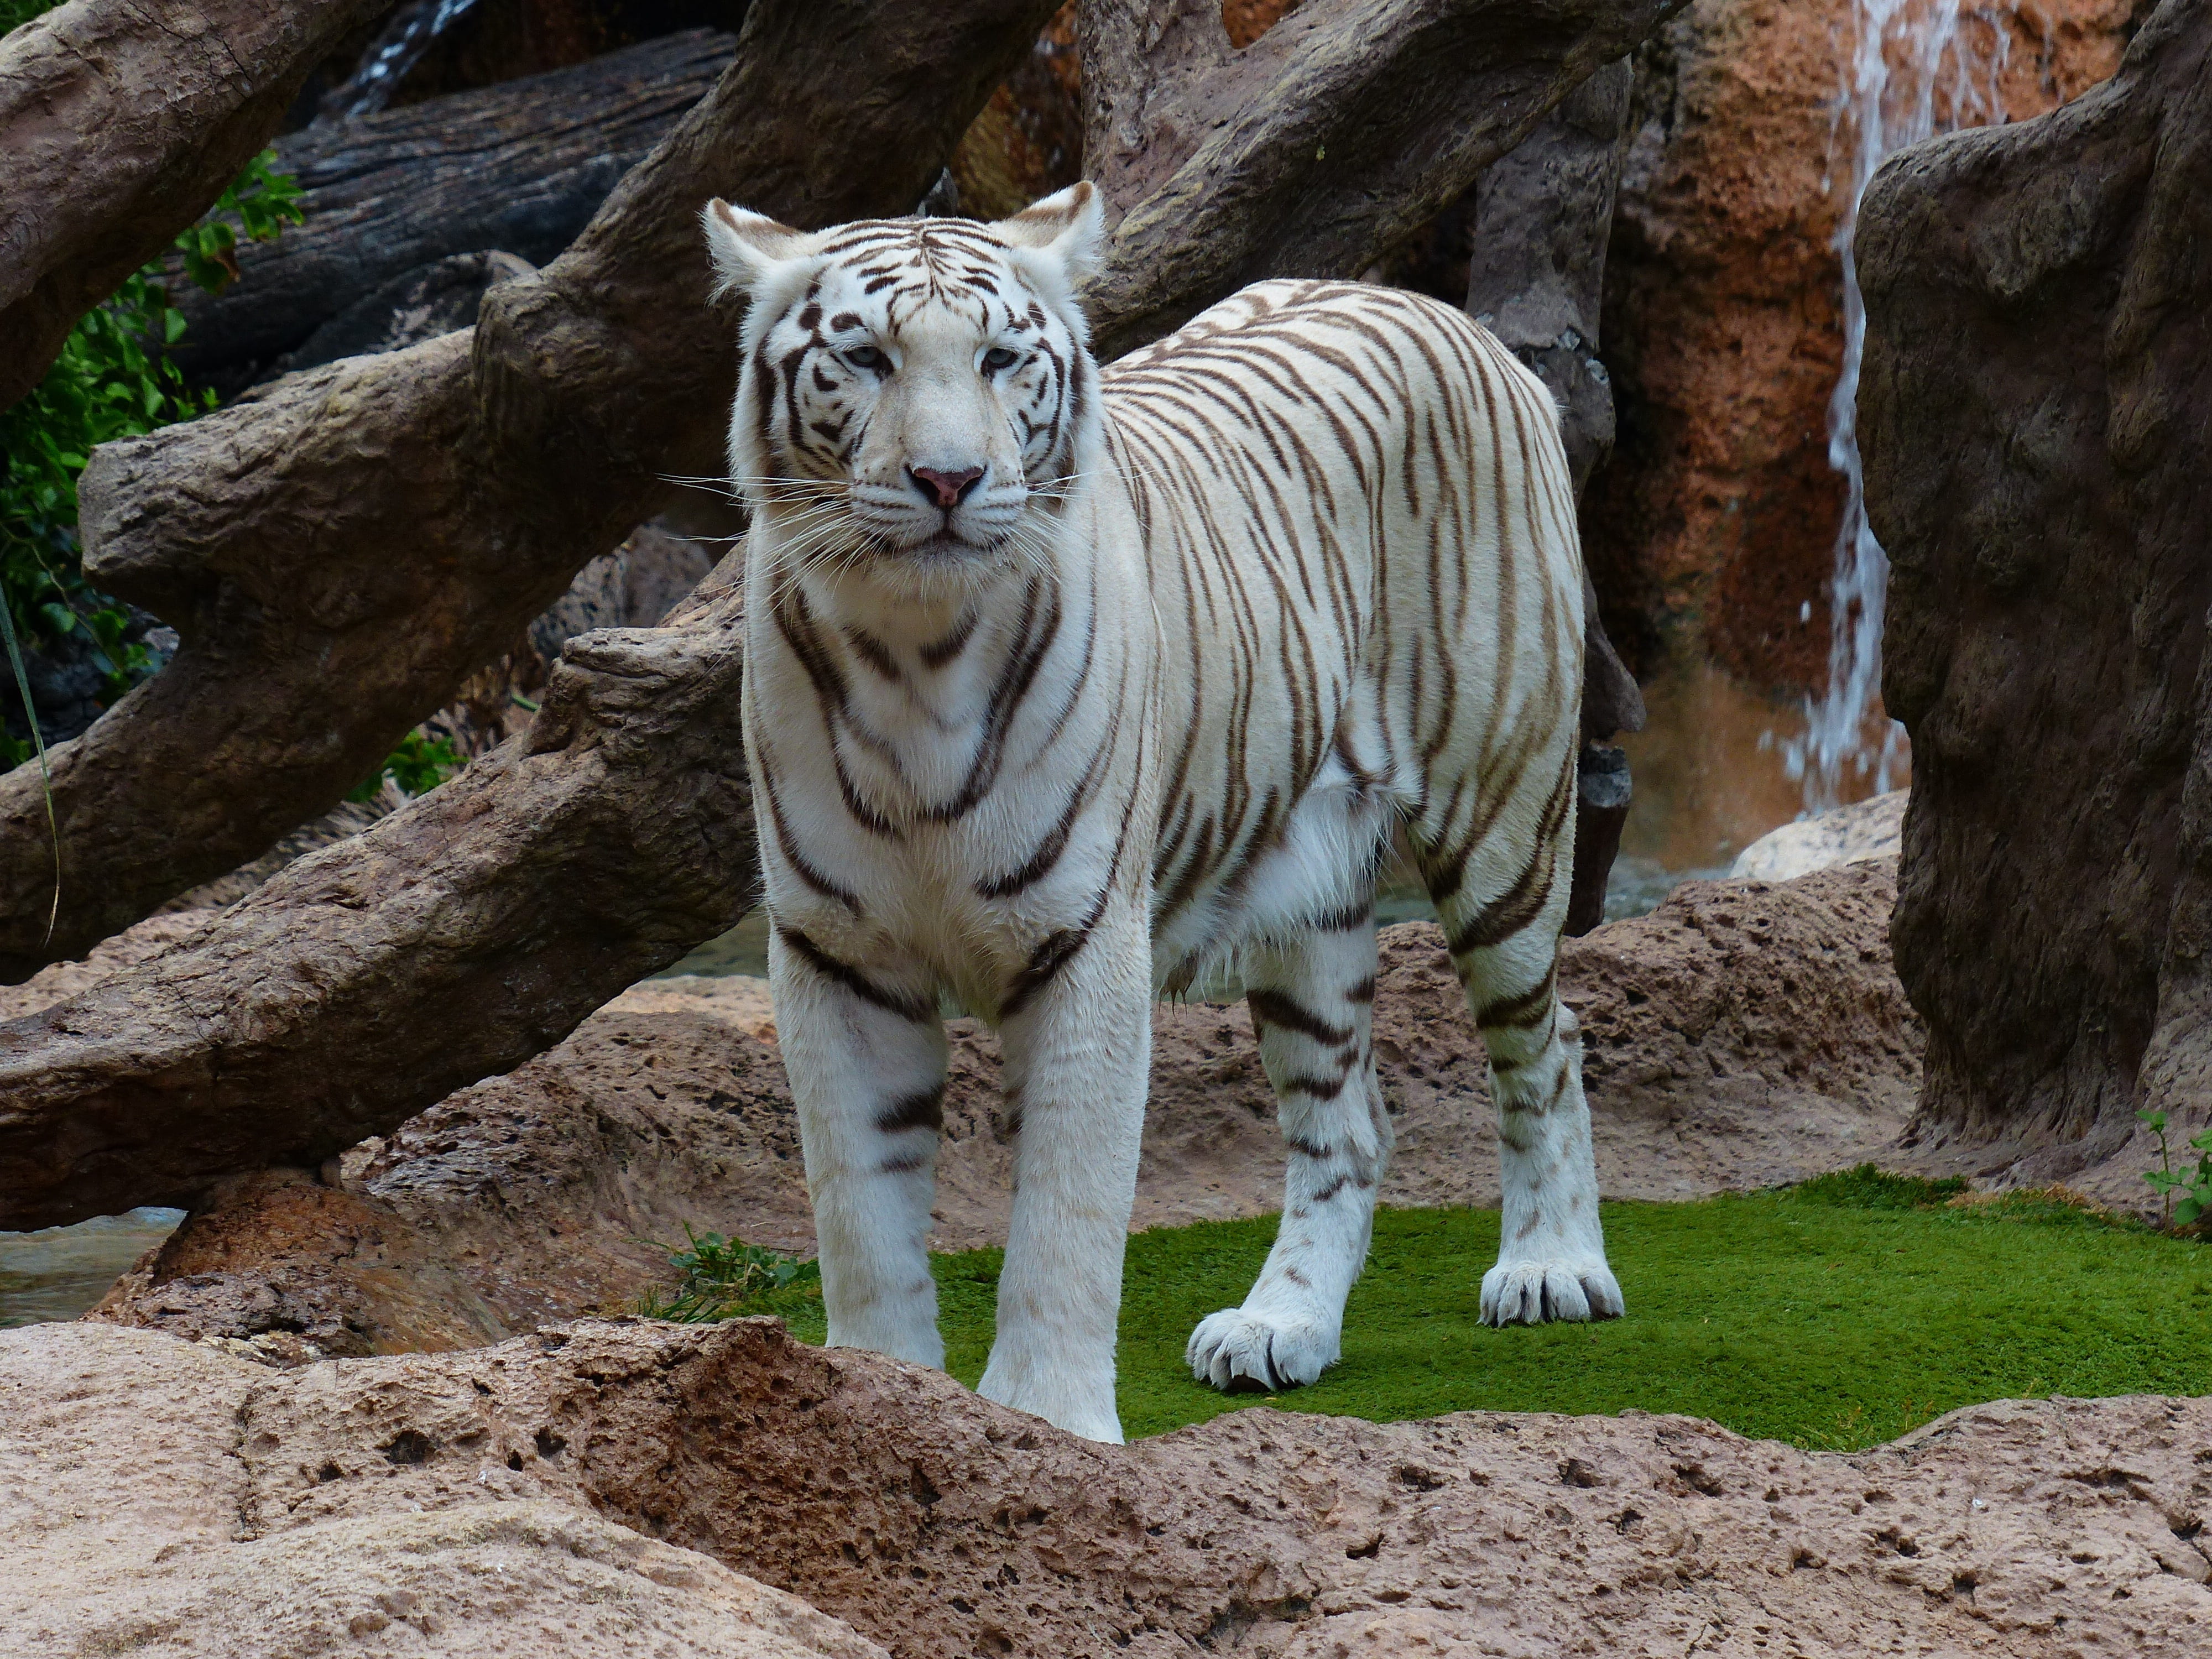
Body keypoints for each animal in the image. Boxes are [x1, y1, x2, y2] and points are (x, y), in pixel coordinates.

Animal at [703, 180, 1621, 1445]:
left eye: (998, 360)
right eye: (866, 358)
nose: (949, 481)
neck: (915, 650)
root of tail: (1441, 312)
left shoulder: (1086, 935)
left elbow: (1065, 1212)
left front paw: (1049, 1425)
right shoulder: (836, 953)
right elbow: (860, 1210)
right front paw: (878, 1401)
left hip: (1503, 818)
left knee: (1547, 1042)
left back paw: (1551, 1267)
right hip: (1305, 900)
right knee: (1348, 1122)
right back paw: (1282, 1326)